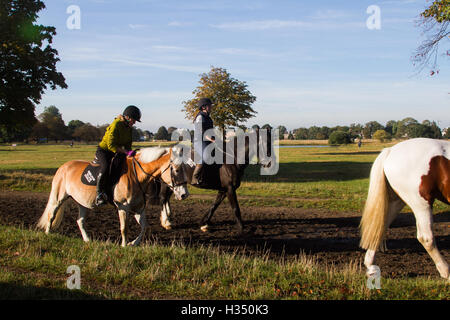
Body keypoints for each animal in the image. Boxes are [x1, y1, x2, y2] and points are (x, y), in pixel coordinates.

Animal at [36, 146, 188, 246]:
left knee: (80, 221)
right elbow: (124, 228)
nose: (184, 194)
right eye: (176, 170)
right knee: (51, 215)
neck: (137, 175)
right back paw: (48, 233)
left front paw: (133, 243)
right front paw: (124, 245)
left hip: (83, 203)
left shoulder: (139, 208)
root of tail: (63, 167)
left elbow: (144, 227)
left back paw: (87, 240)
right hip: (58, 198)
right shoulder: (123, 207)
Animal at [360, 138, 448, 280]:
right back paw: (446, 271)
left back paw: (370, 266)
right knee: (426, 238)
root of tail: (390, 151)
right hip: (421, 204)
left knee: (380, 228)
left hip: (397, 201)